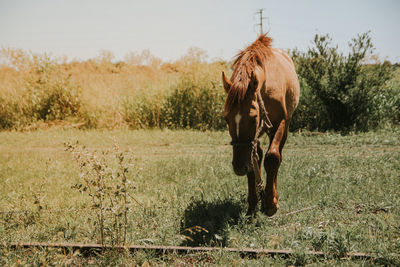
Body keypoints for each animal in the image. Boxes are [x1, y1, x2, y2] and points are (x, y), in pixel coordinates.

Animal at [222, 34, 300, 218]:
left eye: (253, 117)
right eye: (226, 119)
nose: (239, 167)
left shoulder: (280, 123)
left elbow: (272, 158)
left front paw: (271, 203)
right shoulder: (253, 138)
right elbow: (254, 161)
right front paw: (252, 206)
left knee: (277, 156)